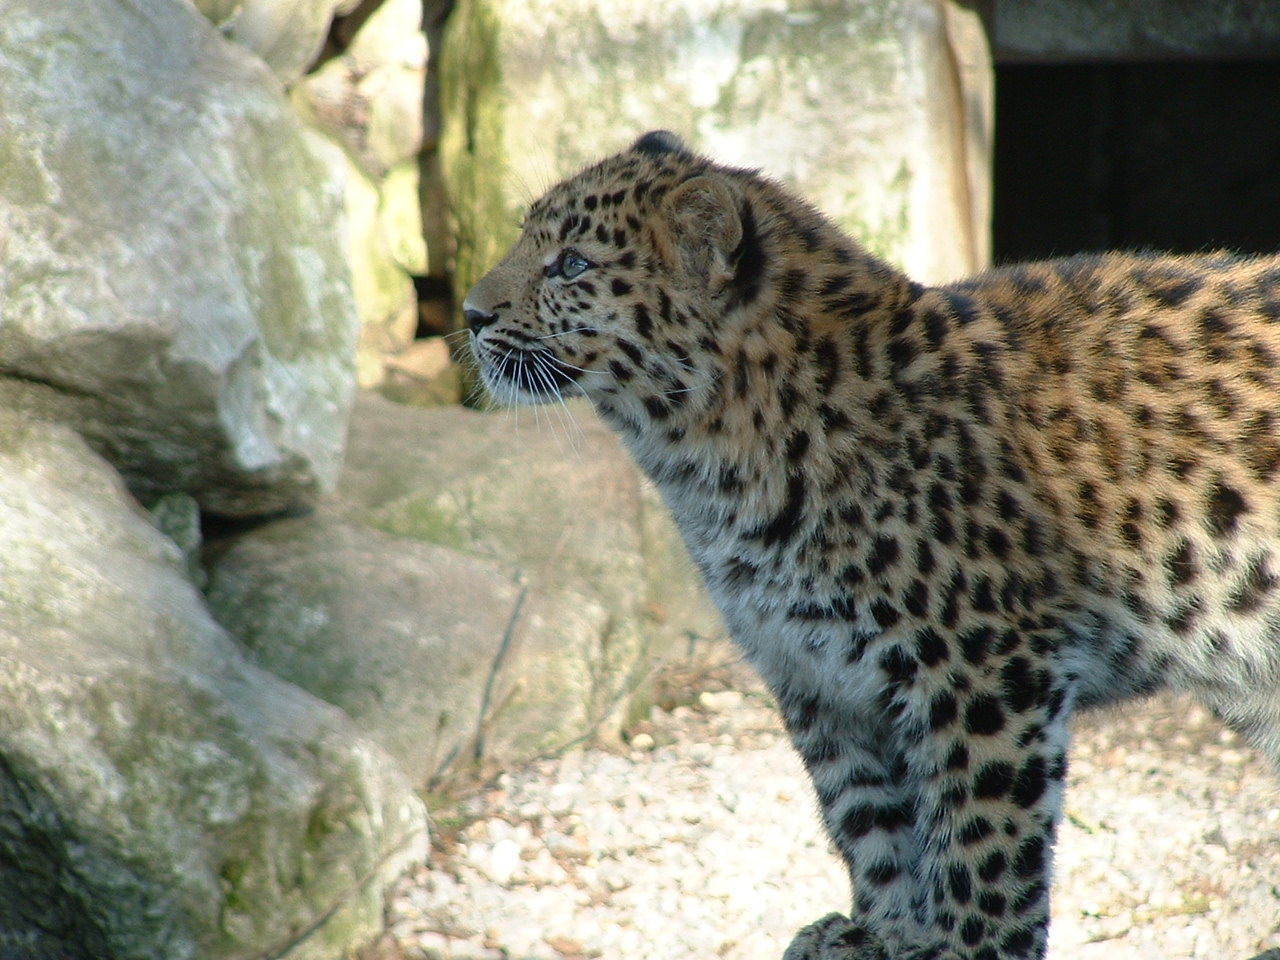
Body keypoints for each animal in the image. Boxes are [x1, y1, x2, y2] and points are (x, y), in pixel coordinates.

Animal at [462, 130, 1280, 960]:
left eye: (571, 265)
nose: (468, 313)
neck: (704, 463)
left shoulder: (983, 674)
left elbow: (980, 841)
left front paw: (969, 945)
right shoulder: (817, 683)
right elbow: (871, 822)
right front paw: (886, 932)